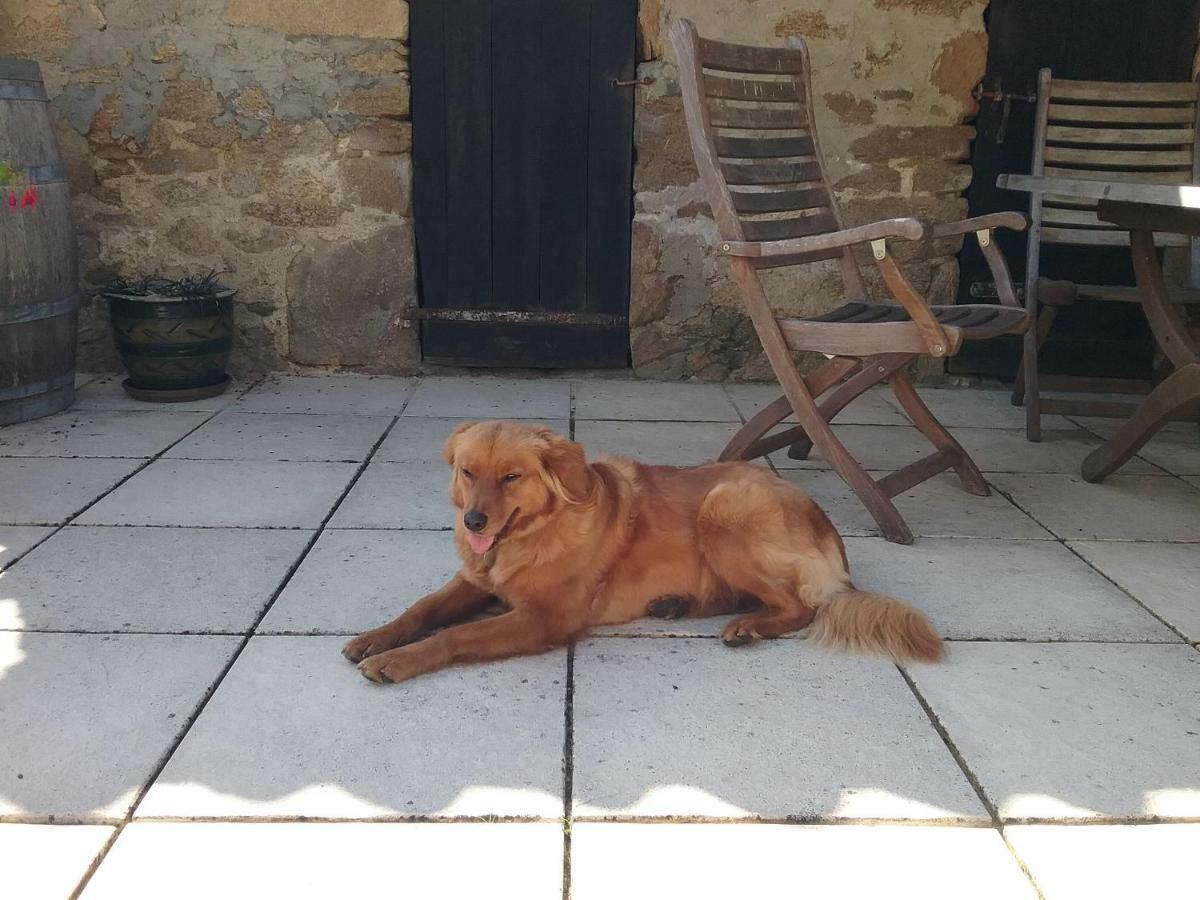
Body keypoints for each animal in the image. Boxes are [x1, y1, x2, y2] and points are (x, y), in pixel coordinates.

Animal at [343, 422, 940, 681]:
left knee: (800, 606)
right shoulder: (474, 580)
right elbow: (421, 609)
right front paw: (377, 638)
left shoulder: (543, 618)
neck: (534, 534)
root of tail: (829, 530)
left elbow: (455, 635)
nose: (473, 521)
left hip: (723, 509)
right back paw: (676, 605)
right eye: (468, 472)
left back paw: (748, 627)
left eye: (511, 477)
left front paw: (396, 660)